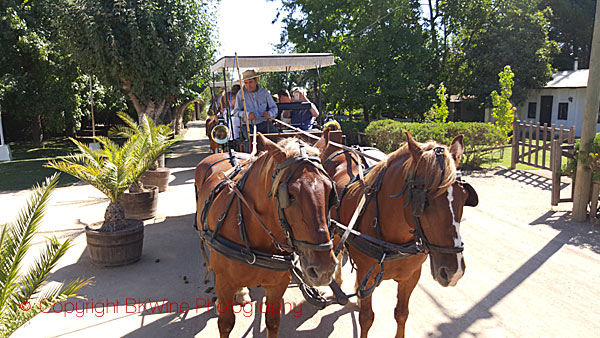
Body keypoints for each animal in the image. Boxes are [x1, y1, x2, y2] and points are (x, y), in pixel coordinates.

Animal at [196, 135, 338, 338]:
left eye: (330, 191)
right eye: (290, 195)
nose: (324, 270)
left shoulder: (277, 285)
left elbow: (272, 321)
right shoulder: (224, 283)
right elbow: (225, 324)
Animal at [316, 131, 476, 336]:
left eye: (464, 198)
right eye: (425, 201)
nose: (454, 272)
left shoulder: (411, 277)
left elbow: (401, 313)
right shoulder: (367, 275)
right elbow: (366, 318)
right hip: (333, 228)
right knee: (338, 248)